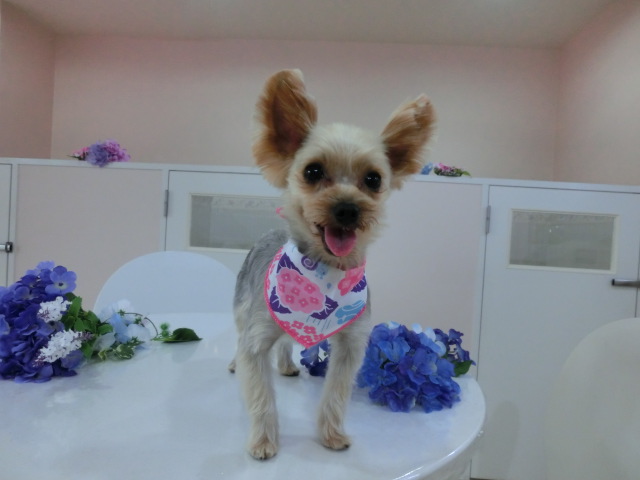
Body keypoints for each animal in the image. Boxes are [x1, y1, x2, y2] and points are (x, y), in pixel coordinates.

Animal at [229, 69, 435, 460]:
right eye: (312, 171)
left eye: (373, 179)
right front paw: (263, 442)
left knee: (285, 343)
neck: (325, 271)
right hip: (243, 305)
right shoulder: (257, 336)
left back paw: (287, 365)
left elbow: (337, 392)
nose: (347, 209)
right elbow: (259, 392)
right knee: (241, 336)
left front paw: (332, 434)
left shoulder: (352, 343)